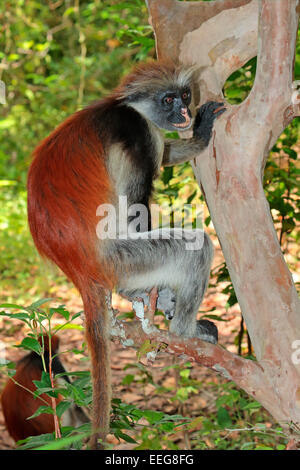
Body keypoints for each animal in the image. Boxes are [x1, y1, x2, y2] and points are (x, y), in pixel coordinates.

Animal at [27, 61, 225, 448]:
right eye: (168, 100)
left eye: (184, 96)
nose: (183, 114)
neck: (127, 107)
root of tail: (78, 266)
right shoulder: (137, 133)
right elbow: (136, 207)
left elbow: (167, 153)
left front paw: (200, 133)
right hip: (123, 259)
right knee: (195, 248)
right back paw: (182, 329)